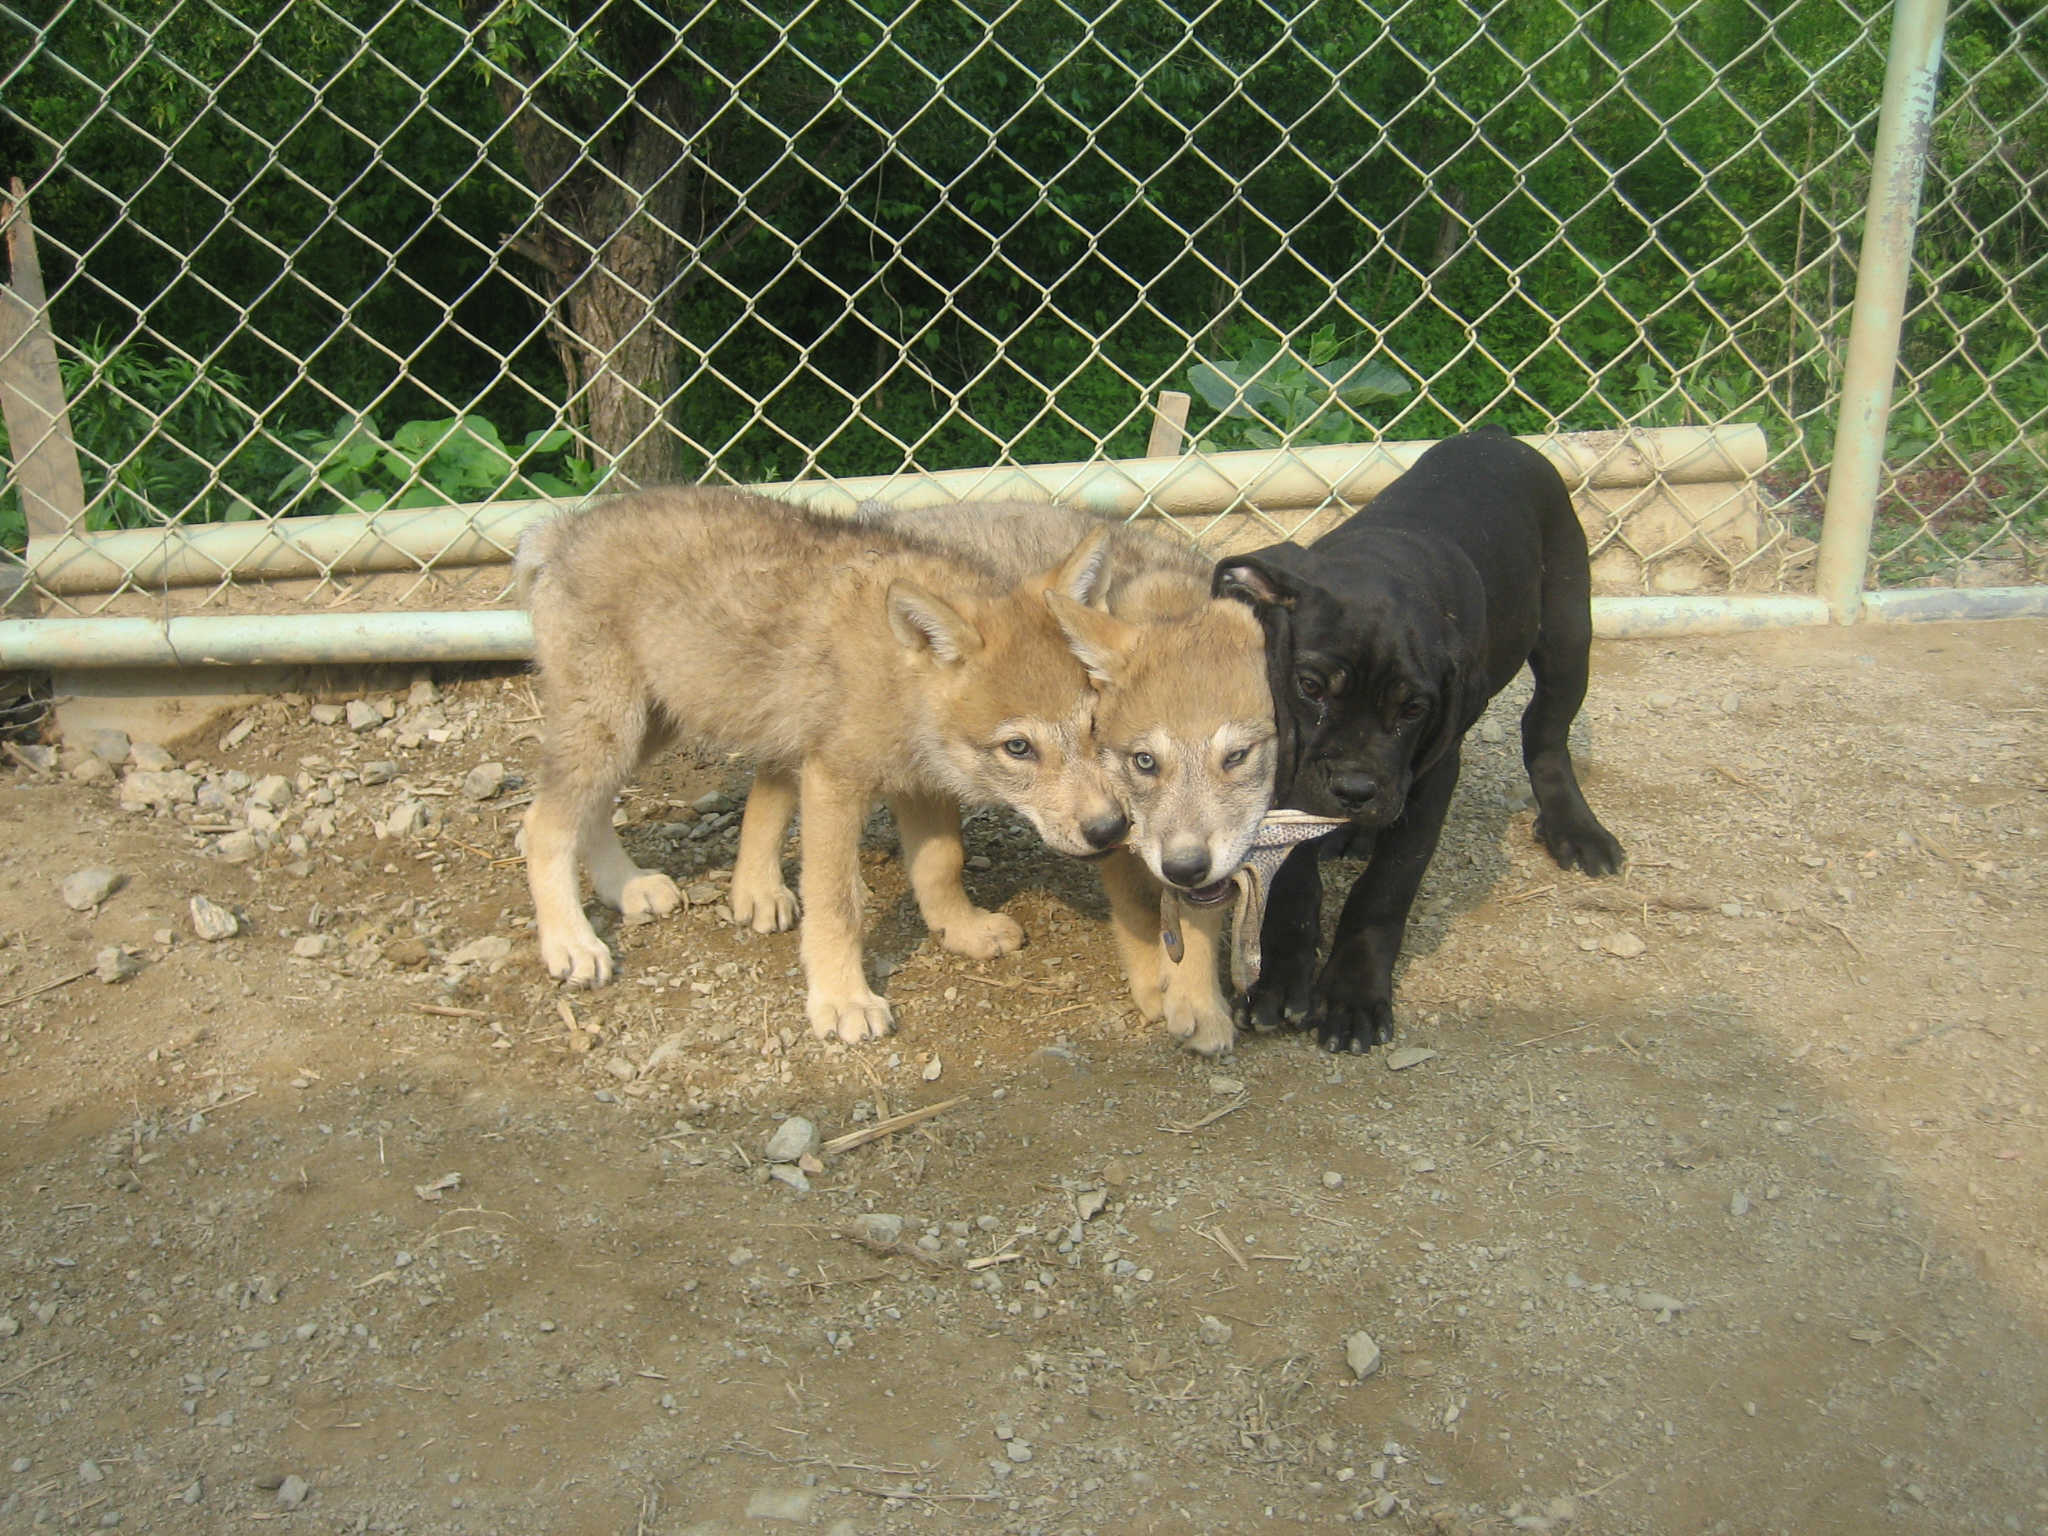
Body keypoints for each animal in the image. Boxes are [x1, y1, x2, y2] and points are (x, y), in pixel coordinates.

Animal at [515, 487, 1127, 1044]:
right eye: (1018, 748)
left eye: (1094, 727)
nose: (1111, 829)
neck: (897, 675)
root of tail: (563, 530)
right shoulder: (835, 782)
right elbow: (836, 905)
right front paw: (842, 1000)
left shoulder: (920, 783)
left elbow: (941, 865)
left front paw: (961, 929)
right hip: (616, 727)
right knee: (542, 823)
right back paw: (571, 942)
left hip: (652, 724)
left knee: (585, 812)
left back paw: (627, 889)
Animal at [849, 499, 1276, 1054]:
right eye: (1144, 761)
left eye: (1238, 757)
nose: (1185, 866)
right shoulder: (1122, 835)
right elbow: (1140, 915)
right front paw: (1156, 987)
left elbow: (1196, 916)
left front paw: (1196, 1002)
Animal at [1214, 428, 1626, 1053]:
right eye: (1310, 686)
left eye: (1412, 709)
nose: (1355, 789)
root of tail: (1496, 436)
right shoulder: (1286, 766)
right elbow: (1289, 873)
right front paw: (1280, 977)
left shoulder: (1432, 775)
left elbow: (1387, 885)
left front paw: (1354, 994)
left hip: (1566, 632)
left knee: (1546, 735)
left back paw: (1575, 829)